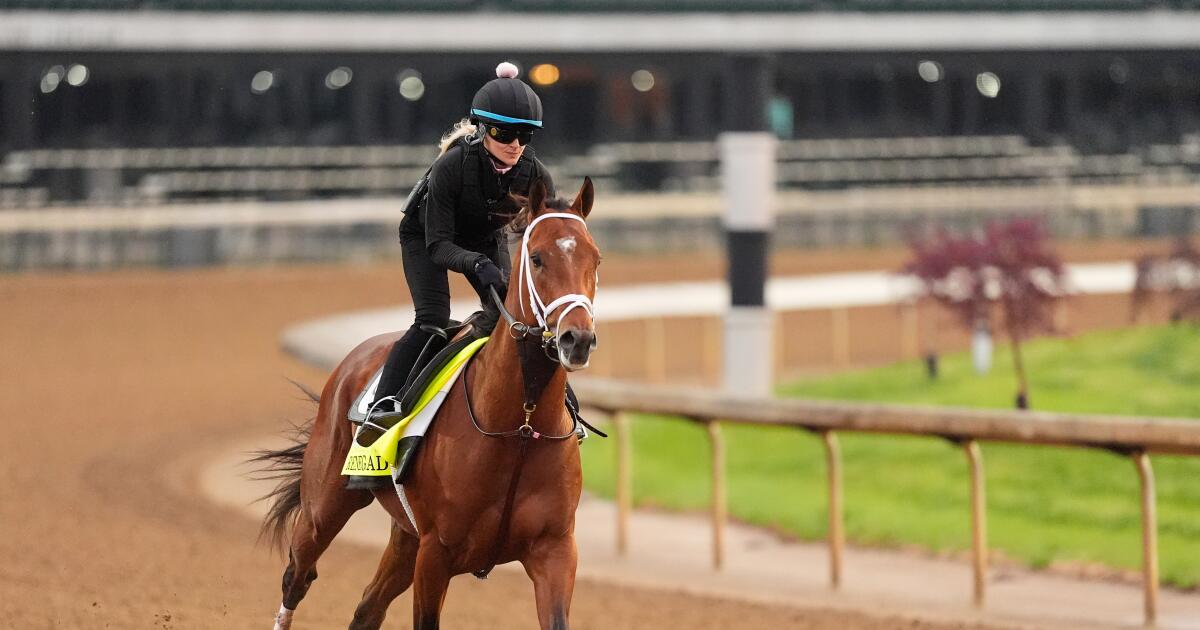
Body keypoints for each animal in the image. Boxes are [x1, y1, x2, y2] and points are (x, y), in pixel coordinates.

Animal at [254, 177, 599, 630]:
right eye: (538, 258)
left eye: (595, 259)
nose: (577, 339)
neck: (521, 426)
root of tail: (354, 359)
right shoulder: (437, 553)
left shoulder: (555, 550)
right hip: (325, 507)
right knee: (298, 575)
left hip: (406, 536)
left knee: (367, 608)